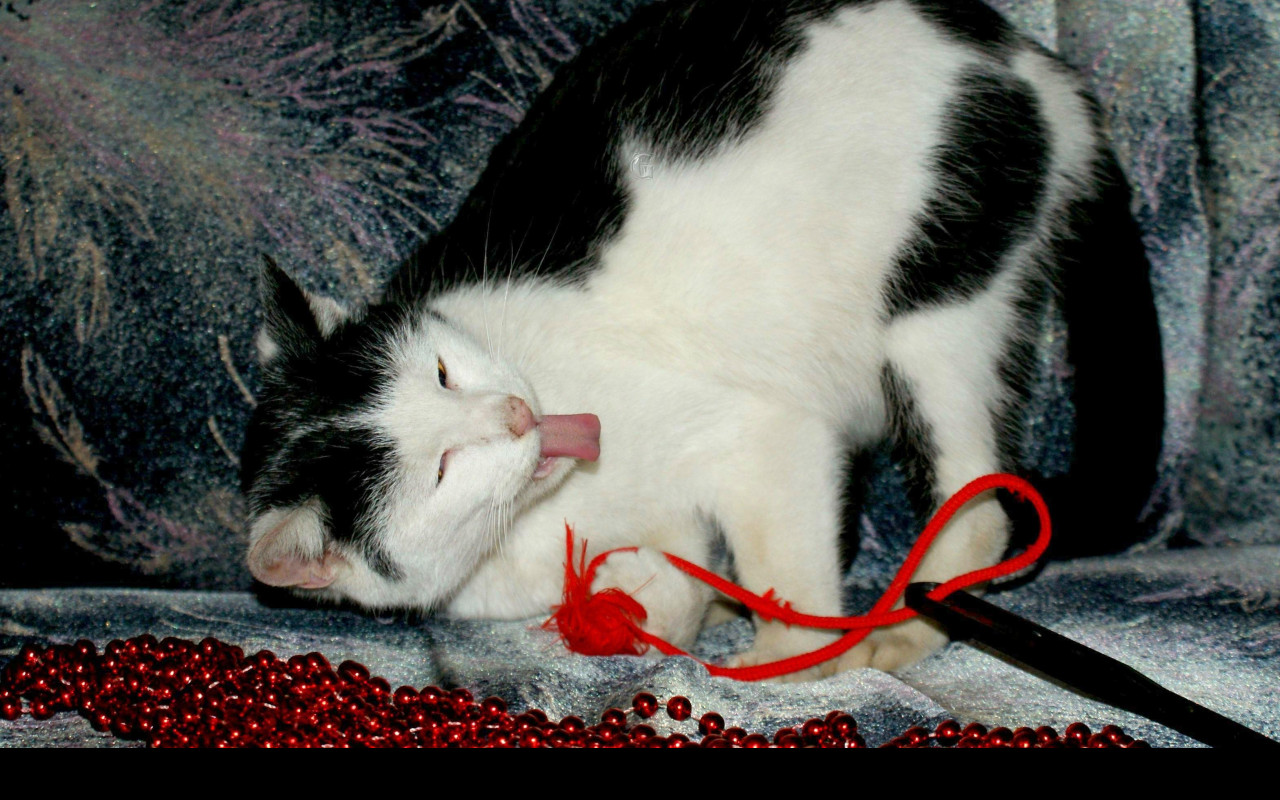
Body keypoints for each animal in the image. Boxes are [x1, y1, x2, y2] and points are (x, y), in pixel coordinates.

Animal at [240, 0, 1163, 677]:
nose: (514, 414)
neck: (548, 513)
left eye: (440, 371)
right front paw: (668, 602)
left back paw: (900, 627)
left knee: (981, 510)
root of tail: (1032, 65)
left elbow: (781, 557)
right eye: (442, 469)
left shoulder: (762, 433)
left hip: (940, 308)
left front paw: (789, 658)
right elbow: (674, 575)